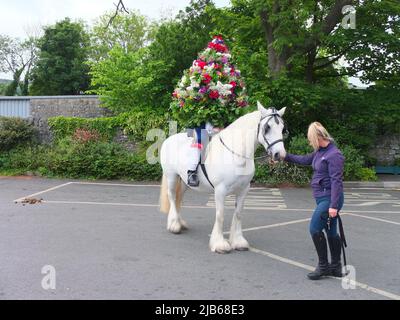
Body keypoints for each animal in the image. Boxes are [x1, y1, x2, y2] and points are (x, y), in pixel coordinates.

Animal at [158, 102, 286, 252]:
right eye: (267, 127)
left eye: (282, 128)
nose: (280, 155)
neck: (235, 154)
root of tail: (169, 139)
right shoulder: (220, 190)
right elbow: (220, 215)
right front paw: (219, 244)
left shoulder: (244, 190)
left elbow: (238, 213)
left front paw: (238, 241)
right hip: (172, 177)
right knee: (172, 197)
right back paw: (174, 225)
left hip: (184, 182)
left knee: (179, 198)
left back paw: (180, 222)